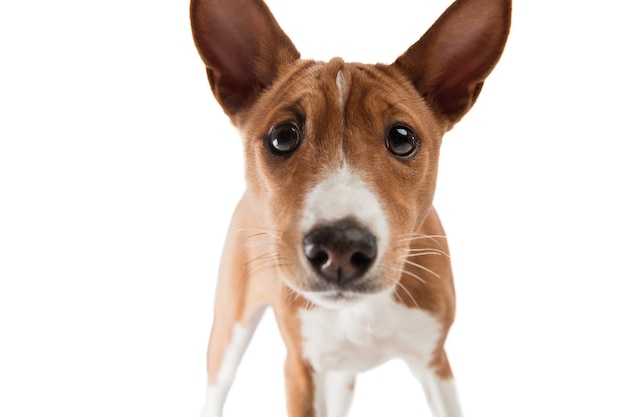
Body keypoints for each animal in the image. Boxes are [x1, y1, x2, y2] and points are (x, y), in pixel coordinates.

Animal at [189, 1, 508, 414]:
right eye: (283, 136)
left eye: (402, 138)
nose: (340, 247)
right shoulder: (300, 369)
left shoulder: (436, 363)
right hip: (229, 330)